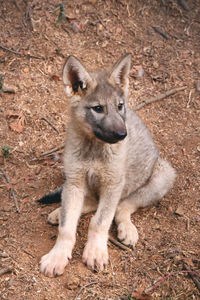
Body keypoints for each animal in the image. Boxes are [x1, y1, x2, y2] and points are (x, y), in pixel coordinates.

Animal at [38, 53, 176, 276]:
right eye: (98, 109)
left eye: (120, 106)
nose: (123, 134)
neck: (94, 149)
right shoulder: (75, 182)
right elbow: (67, 227)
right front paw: (57, 255)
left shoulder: (113, 184)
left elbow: (100, 221)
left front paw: (95, 251)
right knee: (89, 203)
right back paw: (59, 212)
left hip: (163, 175)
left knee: (122, 207)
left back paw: (126, 228)